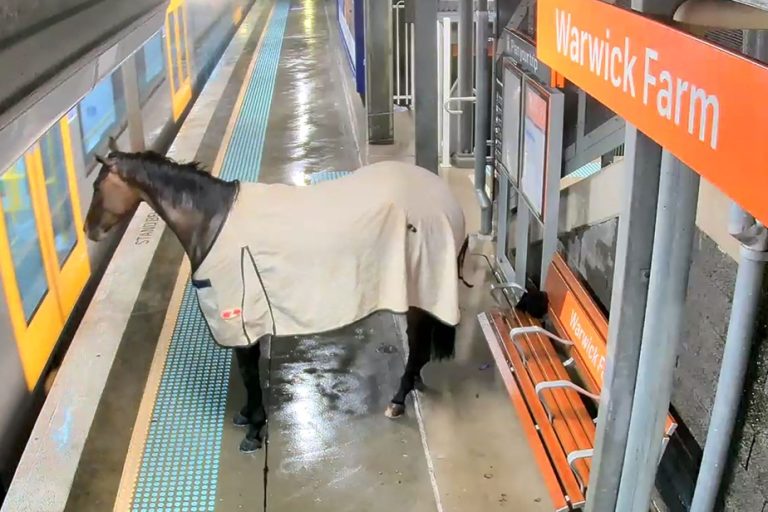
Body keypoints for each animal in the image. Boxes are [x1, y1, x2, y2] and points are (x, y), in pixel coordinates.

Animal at [87, 139, 474, 452]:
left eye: (96, 185)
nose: (89, 231)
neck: (212, 222)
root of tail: (447, 200)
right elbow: (248, 373)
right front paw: (246, 416)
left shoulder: (239, 320)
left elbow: (248, 374)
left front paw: (254, 430)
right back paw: (412, 385)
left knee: (418, 345)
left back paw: (397, 399)